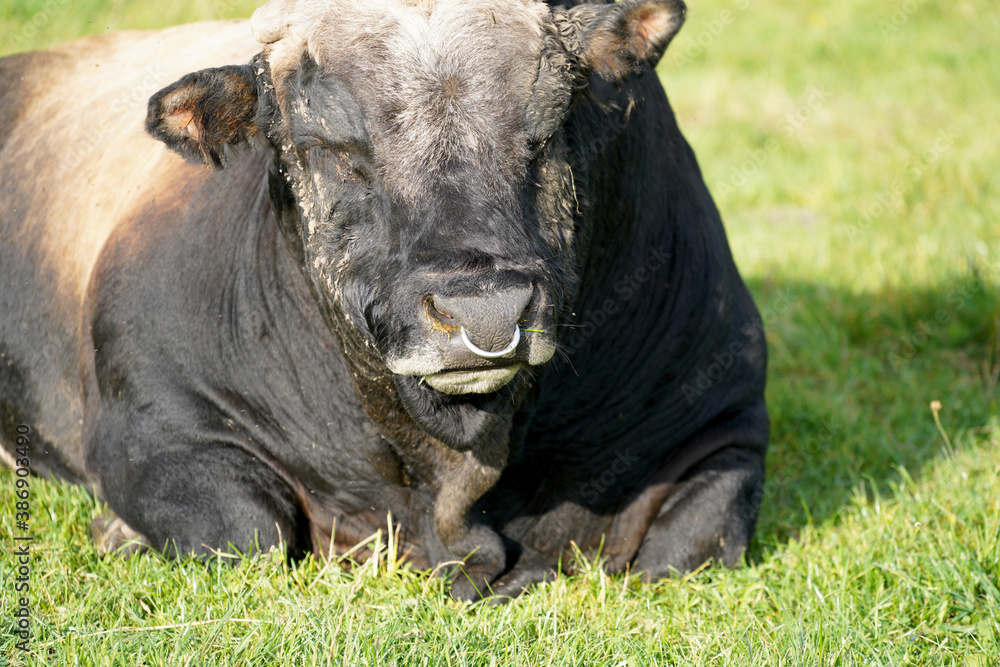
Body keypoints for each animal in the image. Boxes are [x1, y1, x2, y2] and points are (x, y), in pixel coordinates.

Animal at [0, 0, 769, 601]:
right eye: (328, 147)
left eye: (546, 133)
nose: (486, 312)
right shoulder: (153, 422)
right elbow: (246, 530)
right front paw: (121, 531)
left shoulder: (724, 419)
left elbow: (686, 551)